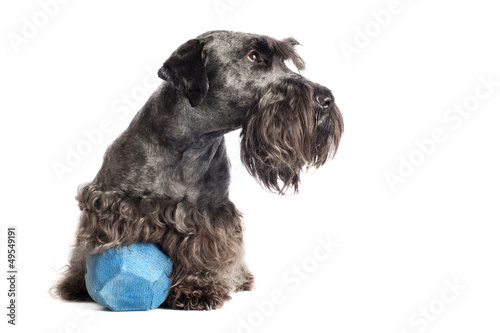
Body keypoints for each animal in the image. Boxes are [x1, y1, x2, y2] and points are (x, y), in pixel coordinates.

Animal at [53, 29, 344, 310]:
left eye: (284, 61)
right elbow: (92, 244)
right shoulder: (110, 202)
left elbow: (203, 252)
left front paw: (197, 289)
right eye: (254, 56)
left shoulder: (209, 214)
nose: (326, 99)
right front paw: (79, 282)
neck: (193, 145)